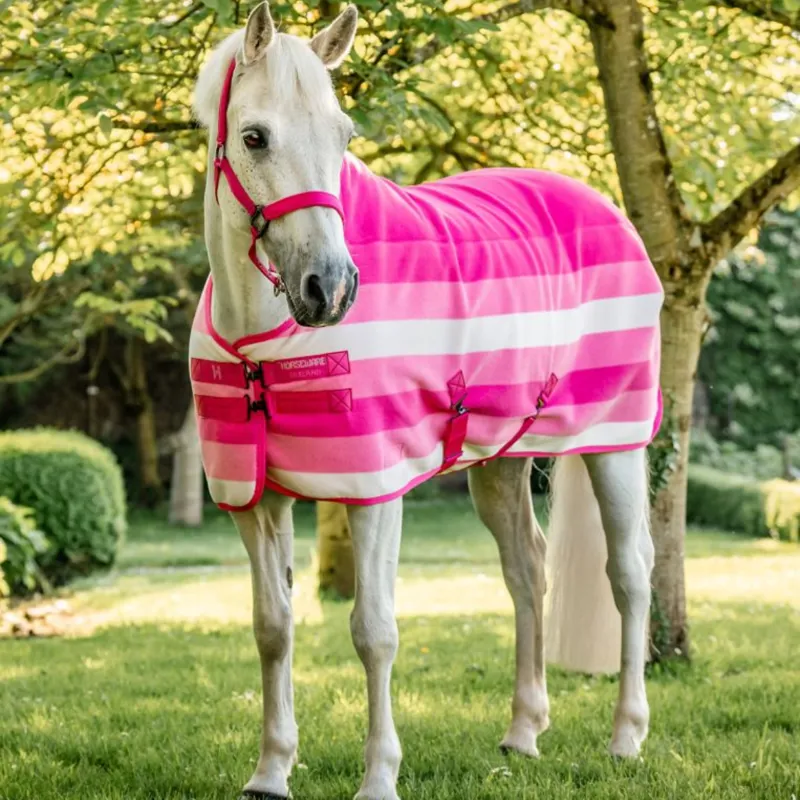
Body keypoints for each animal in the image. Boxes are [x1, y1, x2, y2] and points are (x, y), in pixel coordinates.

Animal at [191, 5, 662, 799]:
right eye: (255, 136)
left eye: (345, 134)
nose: (331, 288)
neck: (263, 344)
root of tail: (604, 204)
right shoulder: (255, 499)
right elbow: (272, 627)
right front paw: (271, 771)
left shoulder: (374, 489)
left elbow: (374, 632)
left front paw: (379, 776)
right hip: (501, 460)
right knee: (527, 571)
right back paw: (523, 733)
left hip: (616, 444)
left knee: (629, 574)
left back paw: (627, 736)